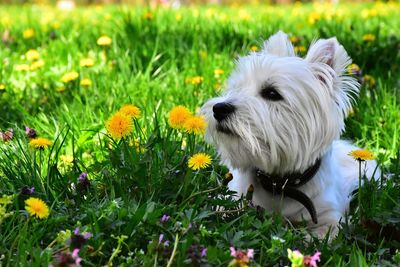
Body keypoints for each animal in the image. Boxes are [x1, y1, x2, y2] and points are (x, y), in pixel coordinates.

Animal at [202, 31, 380, 239]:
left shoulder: (330, 218)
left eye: (272, 93)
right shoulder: (231, 197)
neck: (279, 184)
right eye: (236, 88)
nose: (218, 109)